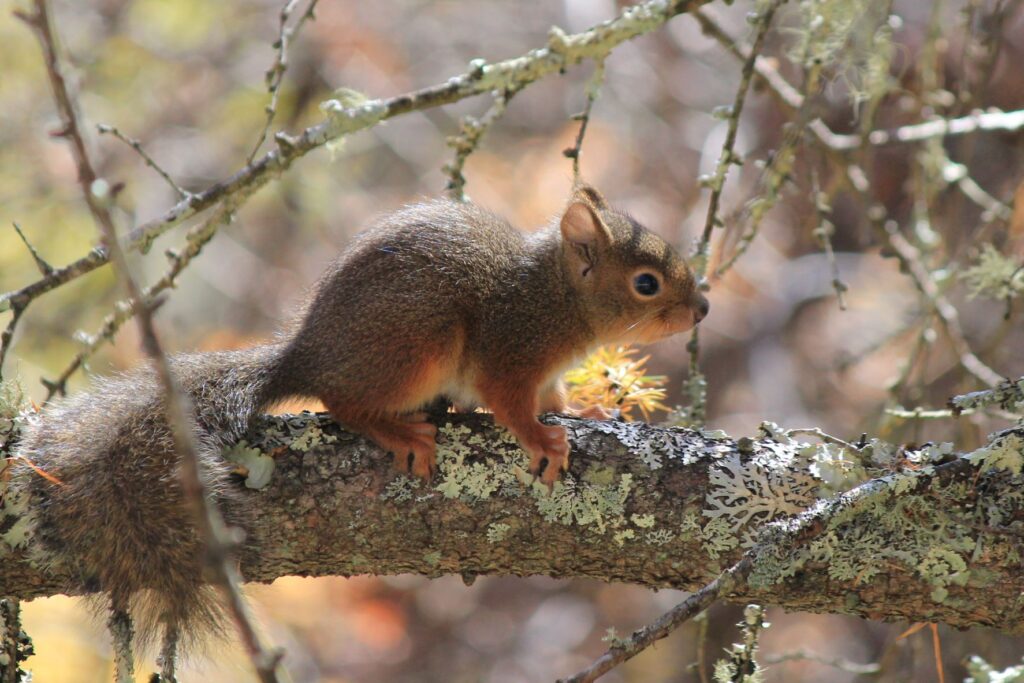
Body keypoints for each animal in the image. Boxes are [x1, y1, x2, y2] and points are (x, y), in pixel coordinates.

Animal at [9, 181, 712, 663]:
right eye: (646, 283)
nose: (703, 309)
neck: (558, 297)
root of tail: (305, 355)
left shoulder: (545, 370)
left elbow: (554, 393)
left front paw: (587, 407)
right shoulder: (510, 353)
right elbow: (511, 405)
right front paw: (542, 440)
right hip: (416, 345)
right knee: (341, 404)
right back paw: (400, 432)